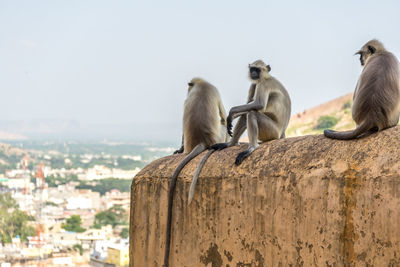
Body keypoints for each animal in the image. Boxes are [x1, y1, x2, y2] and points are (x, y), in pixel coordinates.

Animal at [163, 78, 228, 267]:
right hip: (219, 136)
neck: (202, 84)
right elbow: (224, 115)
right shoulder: (215, 90)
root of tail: (202, 141)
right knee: (223, 123)